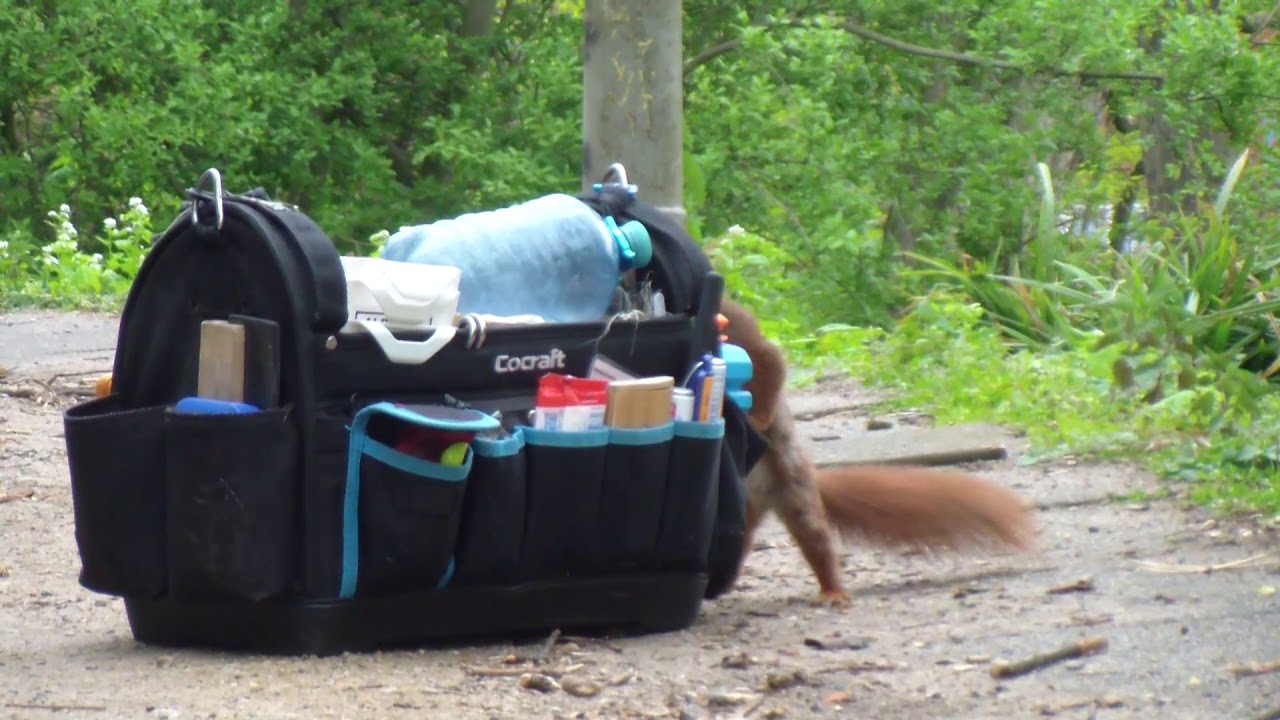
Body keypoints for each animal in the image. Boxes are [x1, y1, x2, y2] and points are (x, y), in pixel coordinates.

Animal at [716, 298, 1037, 606]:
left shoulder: (744, 332)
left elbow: (771, 367)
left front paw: (757, 419)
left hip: (794, 488)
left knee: (817, 540)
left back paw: (833, 592)